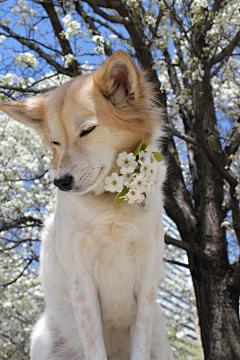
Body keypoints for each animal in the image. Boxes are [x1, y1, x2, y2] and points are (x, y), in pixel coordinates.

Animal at [0, 50, 172, 360]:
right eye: (55, 142)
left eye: (87, 130)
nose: (61, 182)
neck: (110, 203)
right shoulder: (81, 282)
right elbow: (95, 347)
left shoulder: (147, 283)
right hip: (45, 339)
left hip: (159, 341)